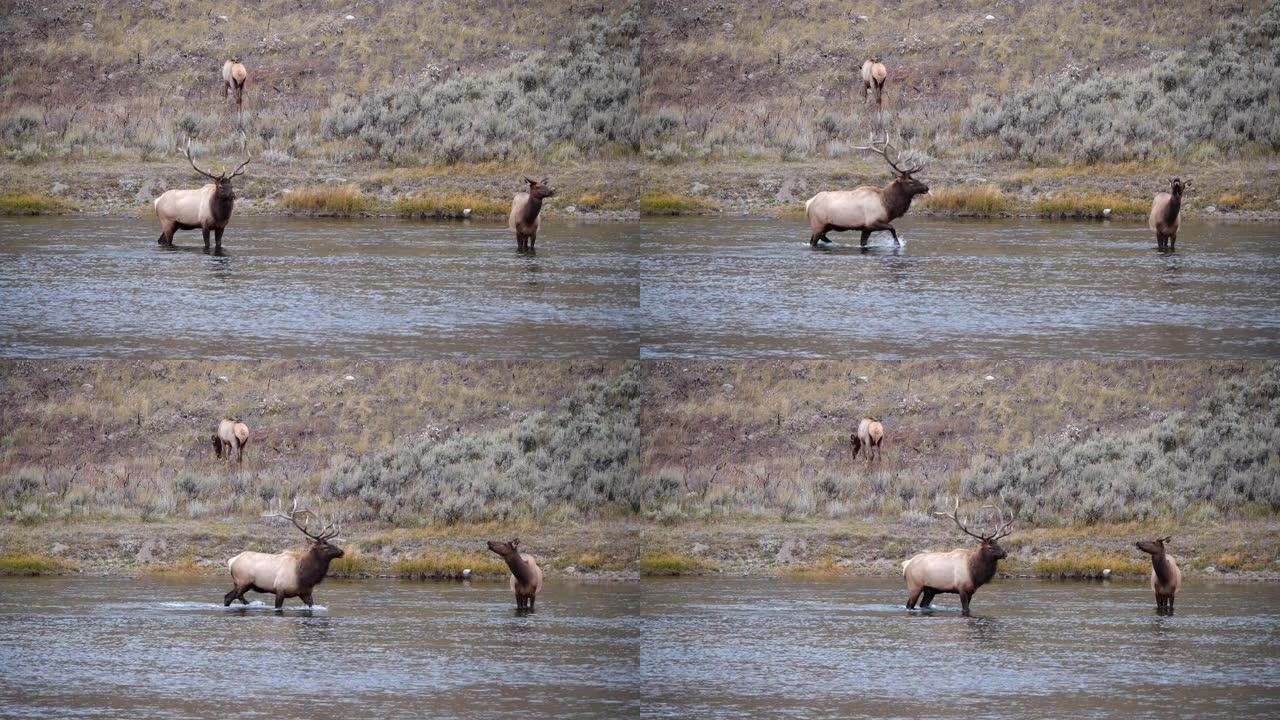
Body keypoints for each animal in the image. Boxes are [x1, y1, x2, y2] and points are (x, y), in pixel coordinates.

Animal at [798, 139, 931, 248]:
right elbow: (893, 229)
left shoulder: (866, 229)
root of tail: (808, 203)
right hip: (818, 224)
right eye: (910, 181)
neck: (887, 205)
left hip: (826, 226)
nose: (926, 187)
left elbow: (863, 243)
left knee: (820, 237)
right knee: (813, 241)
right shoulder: (873, 222)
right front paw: (897, 244)